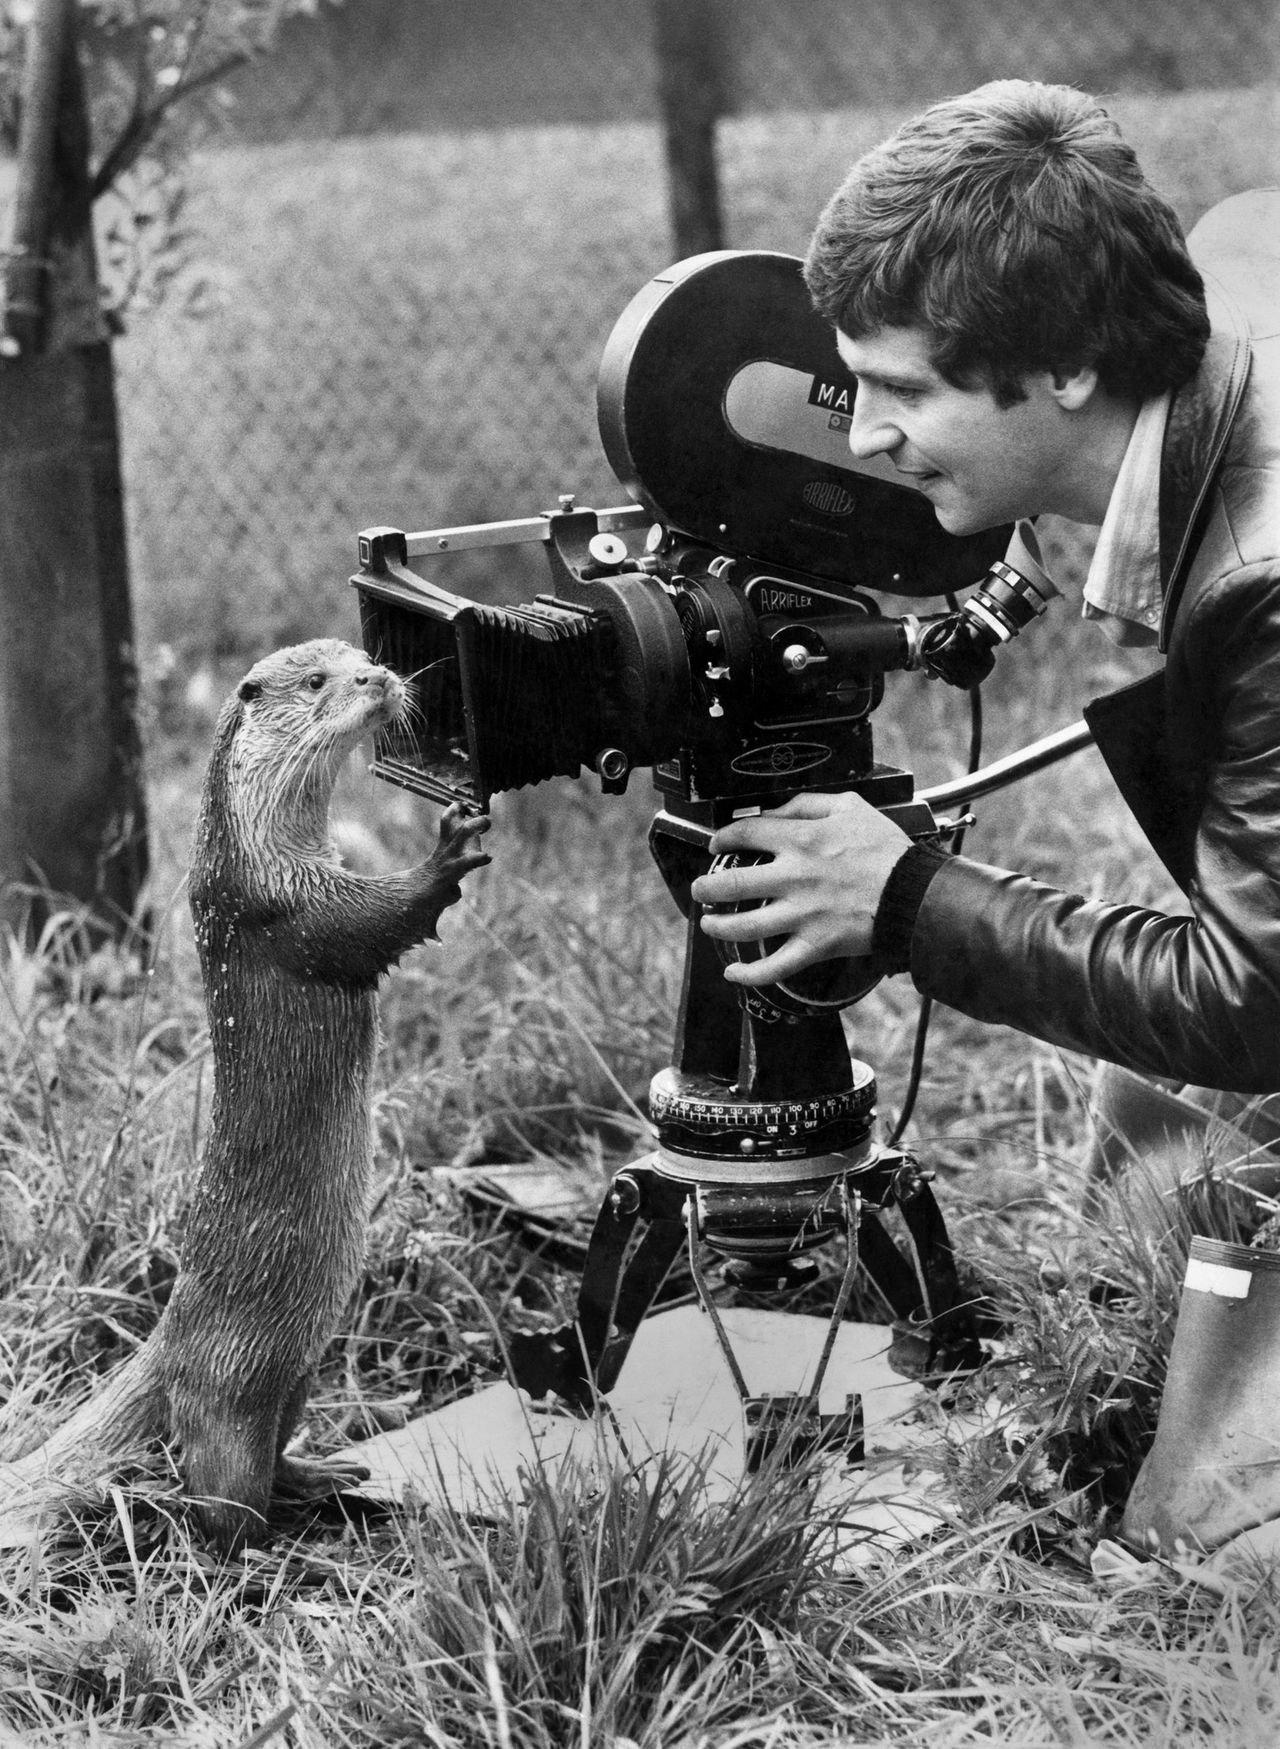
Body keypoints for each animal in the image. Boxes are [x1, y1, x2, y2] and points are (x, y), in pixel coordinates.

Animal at [0, 636, 489, 1553]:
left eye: (362, 654)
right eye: (318, 680)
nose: (378, 678)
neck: (253, 851)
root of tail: (166, 1341)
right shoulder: (284, 905)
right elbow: (377, 922)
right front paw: (448, 850)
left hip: (299, 1368)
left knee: (274, 1451)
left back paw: (326, 1472)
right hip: (233, 1381)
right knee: (220, 1495)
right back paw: (248, 1541)